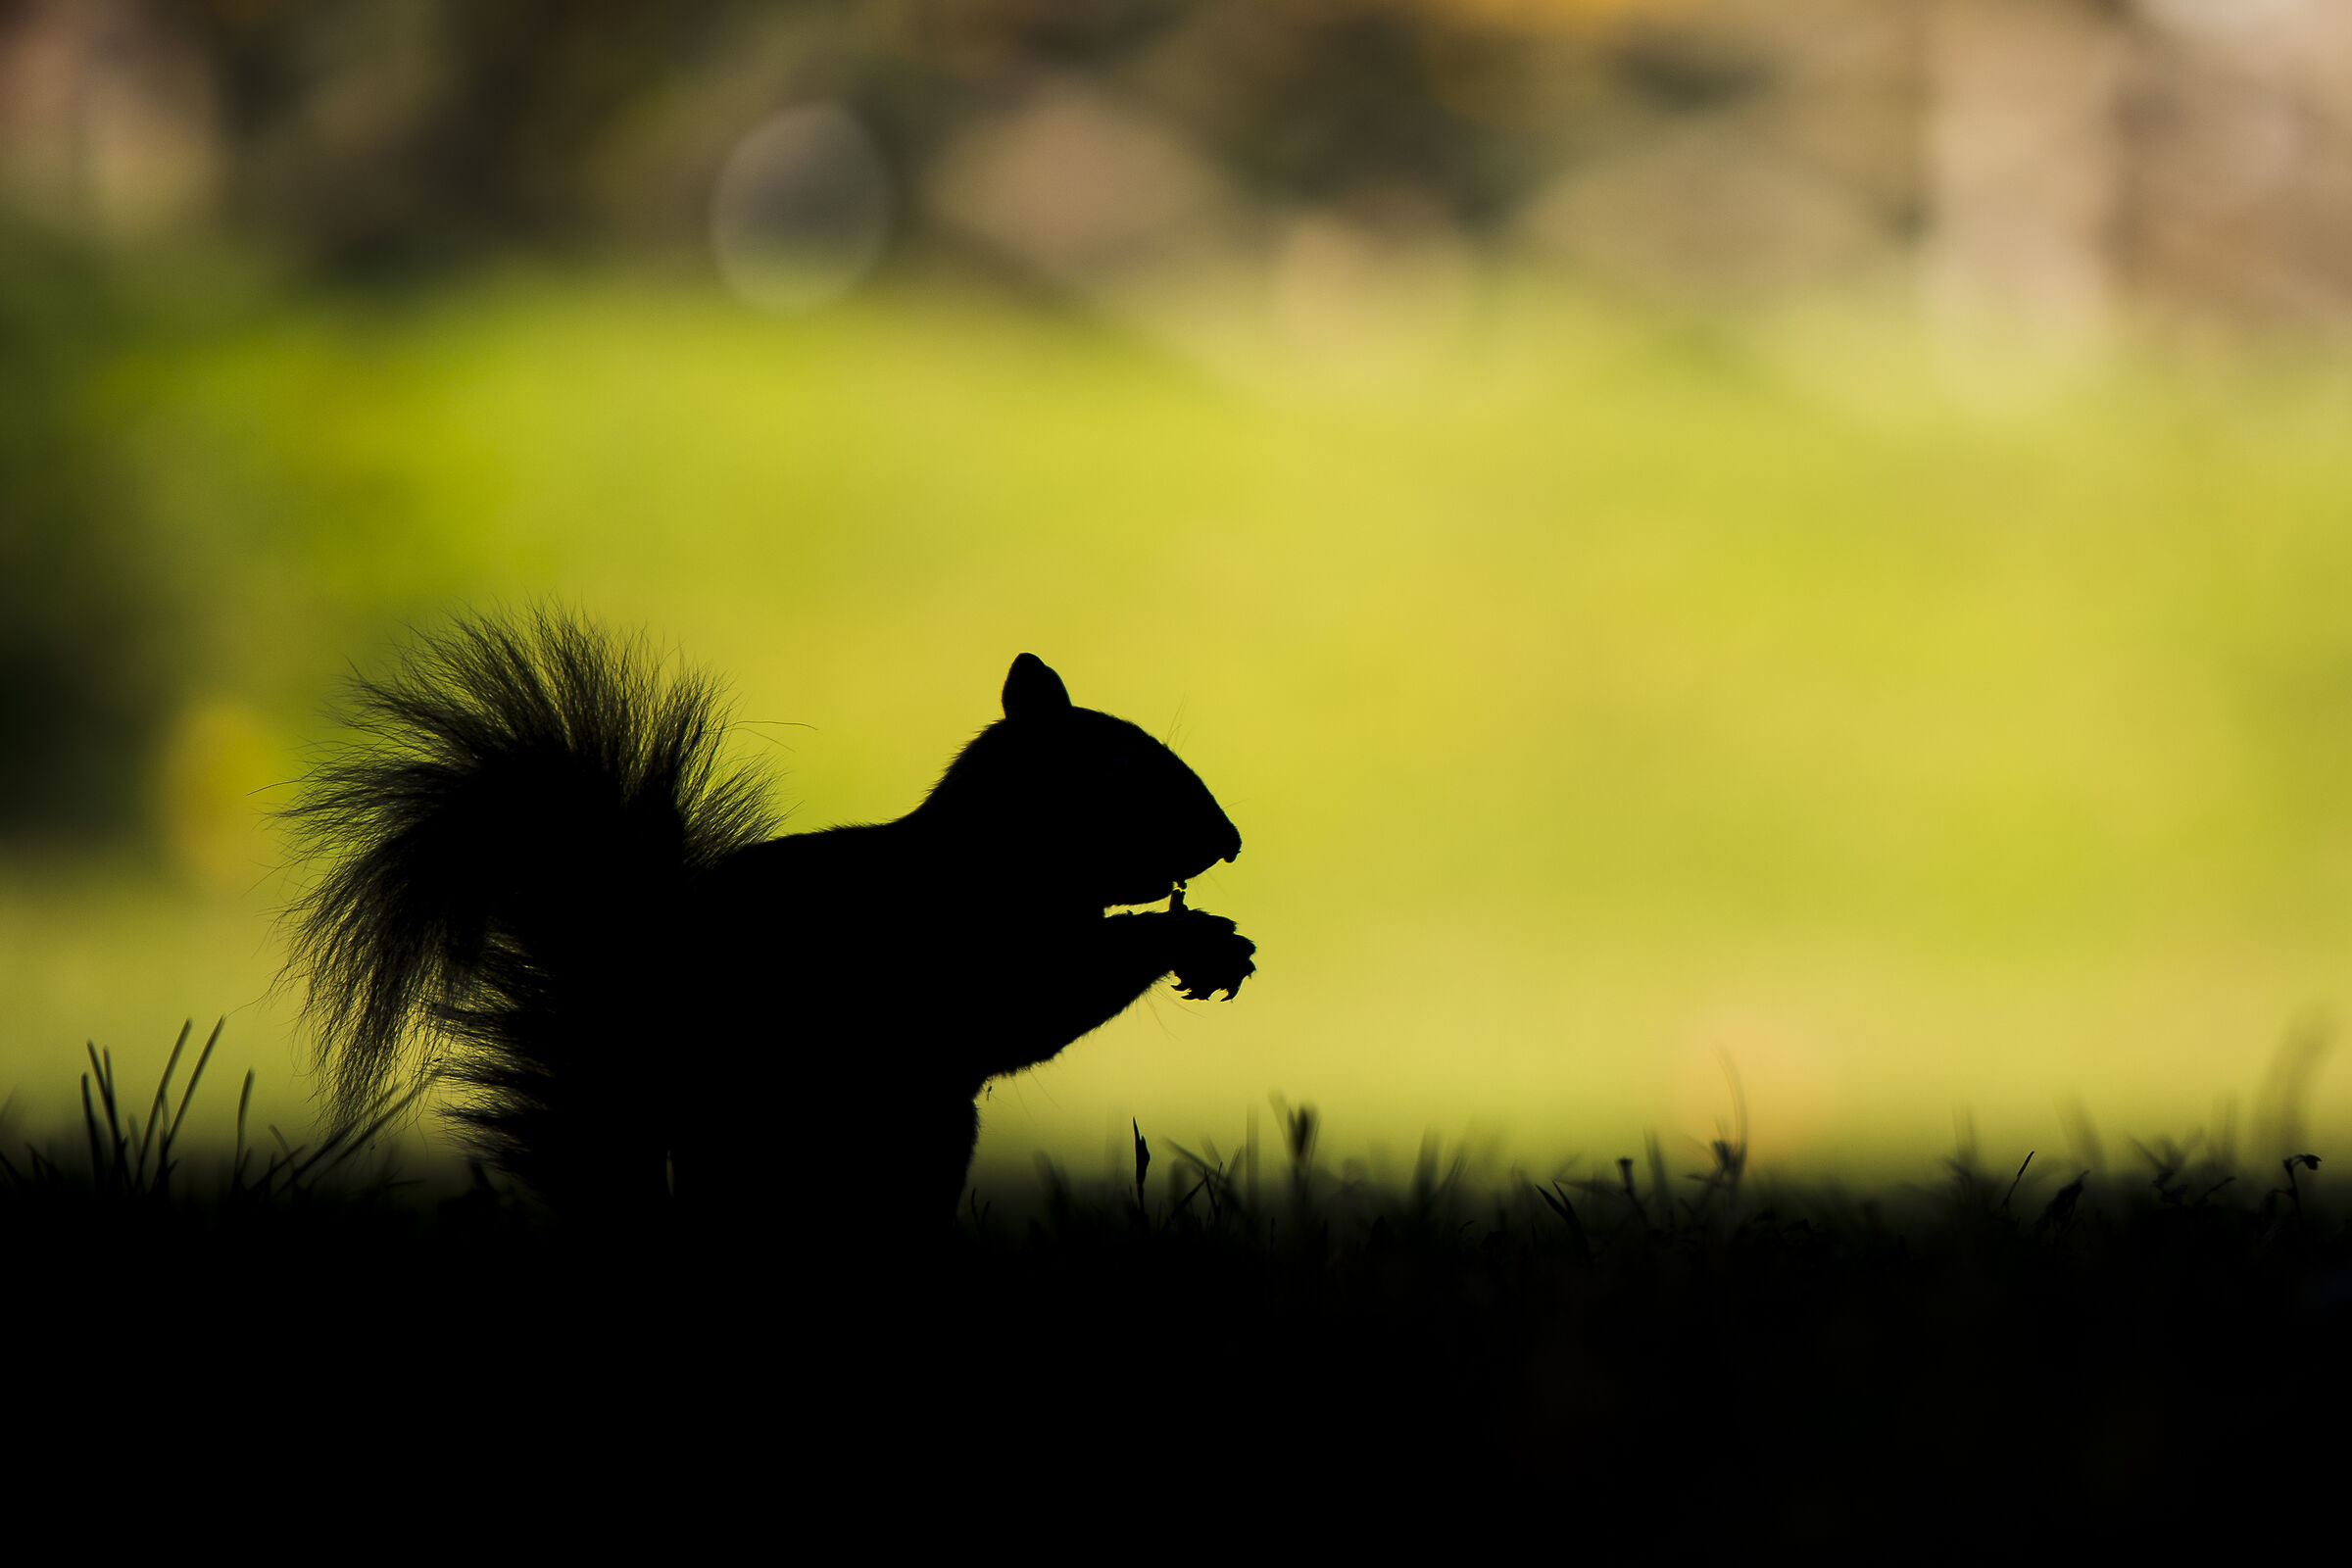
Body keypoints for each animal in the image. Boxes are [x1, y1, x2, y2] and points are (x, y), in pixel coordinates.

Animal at [282, 610, 1255, 1225]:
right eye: (1120, 771)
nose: (1230, 841)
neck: (999, 851)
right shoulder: (962, 945)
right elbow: (1043, 1003)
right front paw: (1192, 935)